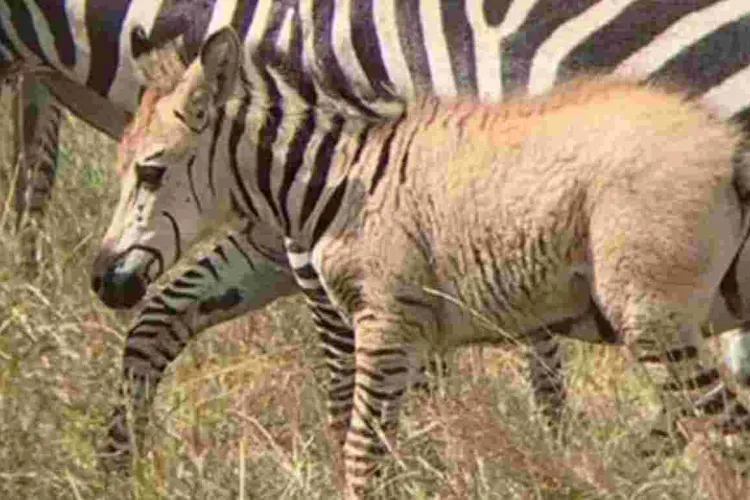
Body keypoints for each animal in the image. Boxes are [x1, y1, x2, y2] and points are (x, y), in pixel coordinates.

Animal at [90, 0, 750, 480]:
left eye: (150, 172)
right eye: (123, 169)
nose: (102, 283)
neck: (342, 175)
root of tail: (727, 143)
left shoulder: (383, 322)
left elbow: (362, 449)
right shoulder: (413, 334)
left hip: (650, 314)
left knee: (725, 429)